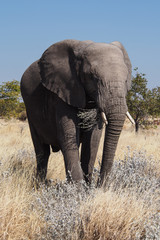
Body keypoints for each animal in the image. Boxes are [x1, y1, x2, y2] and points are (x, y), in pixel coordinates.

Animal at [20, 39, 132, 186]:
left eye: (126, 80)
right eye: (92, 77)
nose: (101, 185)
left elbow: (93, 139)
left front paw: (87, 187)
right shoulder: (64, 90)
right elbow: (69, 134)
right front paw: (78, 188)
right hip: (30, 112)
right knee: (42, 152)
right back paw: (39, 186)